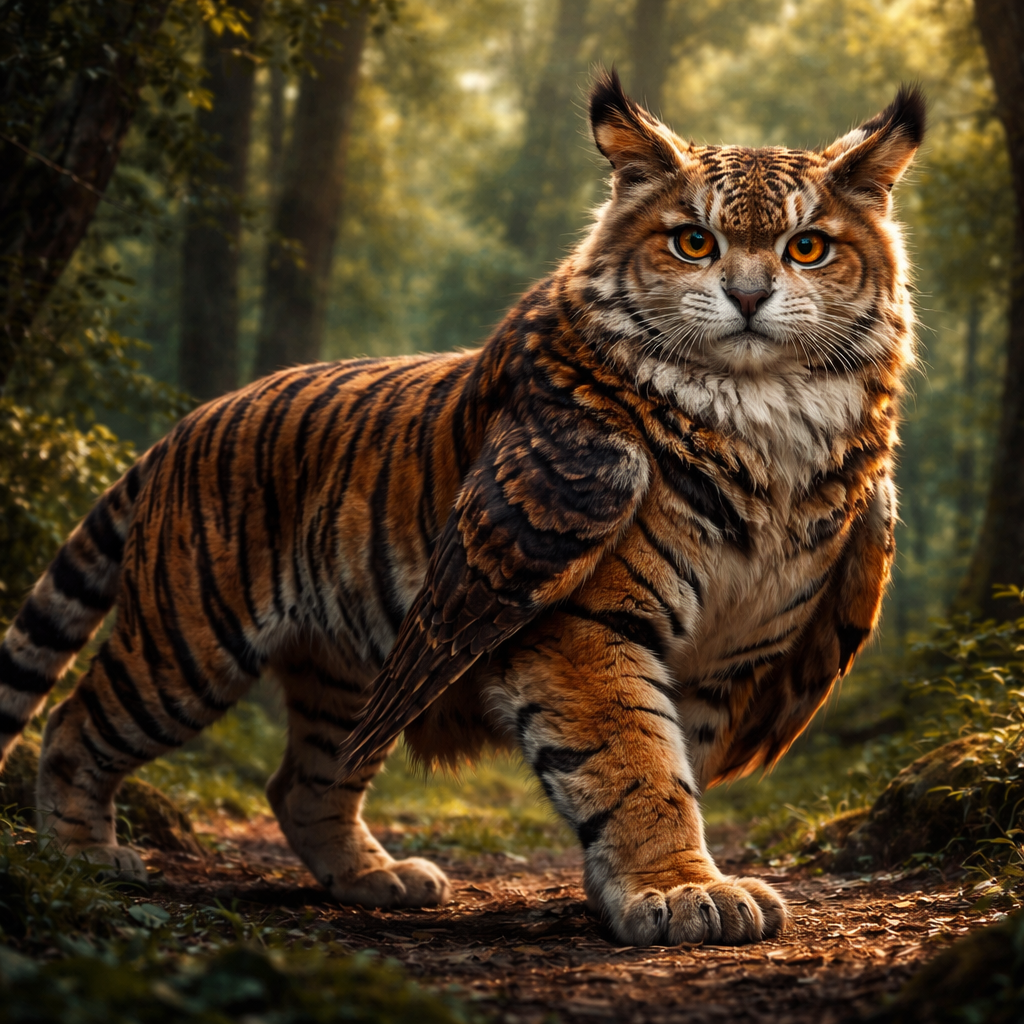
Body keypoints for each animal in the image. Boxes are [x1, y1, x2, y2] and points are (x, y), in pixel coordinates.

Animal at [0, 71, 922, 946]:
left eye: (807, 247)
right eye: (695, 241)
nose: (749, 297)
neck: (767, 419)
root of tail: (182, 426)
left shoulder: (726, 657)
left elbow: (674, 761)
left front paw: (635, 890)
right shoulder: (585, 622)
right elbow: (637, 763)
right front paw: (680, 892)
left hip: (353, 671)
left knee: (303, 779)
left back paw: (376, 879)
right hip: (188, 644)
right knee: (77, 723)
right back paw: (84, 856)